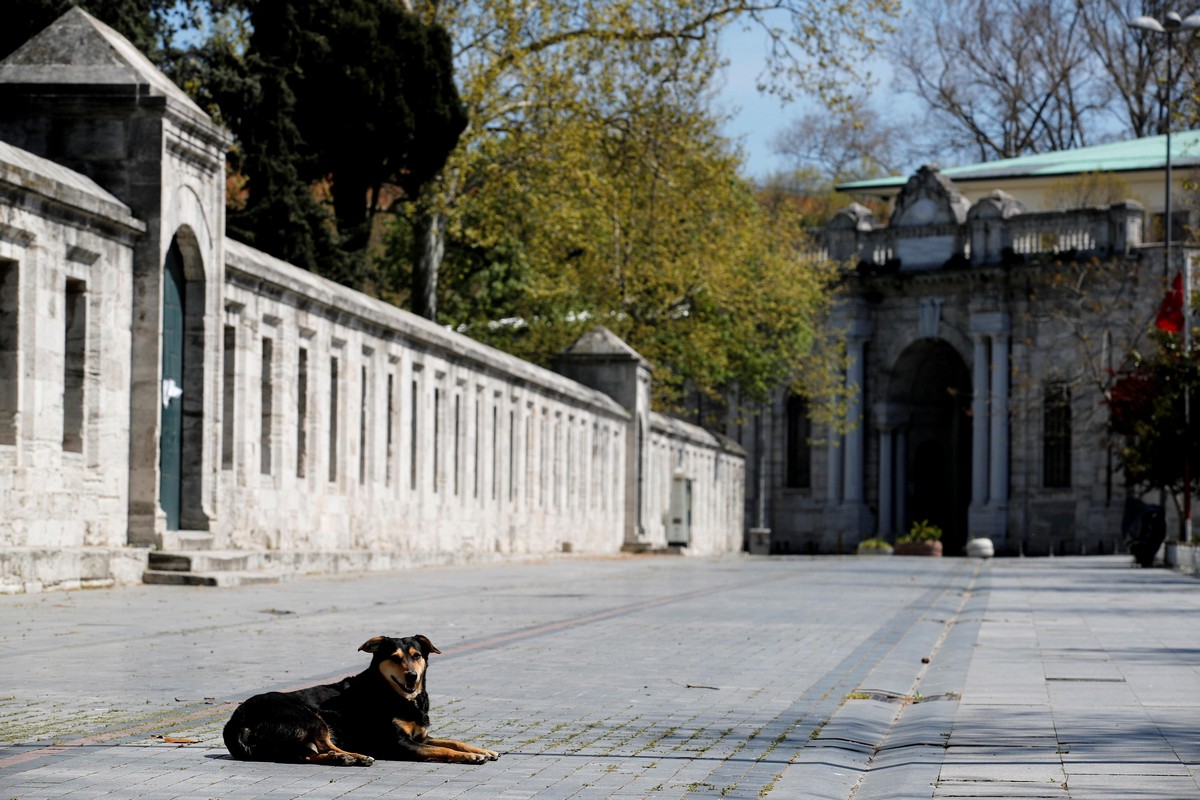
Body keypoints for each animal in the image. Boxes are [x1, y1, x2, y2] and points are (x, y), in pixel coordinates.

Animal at [223, 633, 499, 767]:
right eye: (395, 658)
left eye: (417, 655)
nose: (412, 676)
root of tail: (237, 722)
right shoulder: (398, 743)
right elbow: (443, 749)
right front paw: (470, 757)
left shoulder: (421, 736)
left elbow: (453, 741)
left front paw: (482, 750)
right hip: (310, 718)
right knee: (325, 746)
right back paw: (355, 757)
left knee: (307, 755)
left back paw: (342, 759)